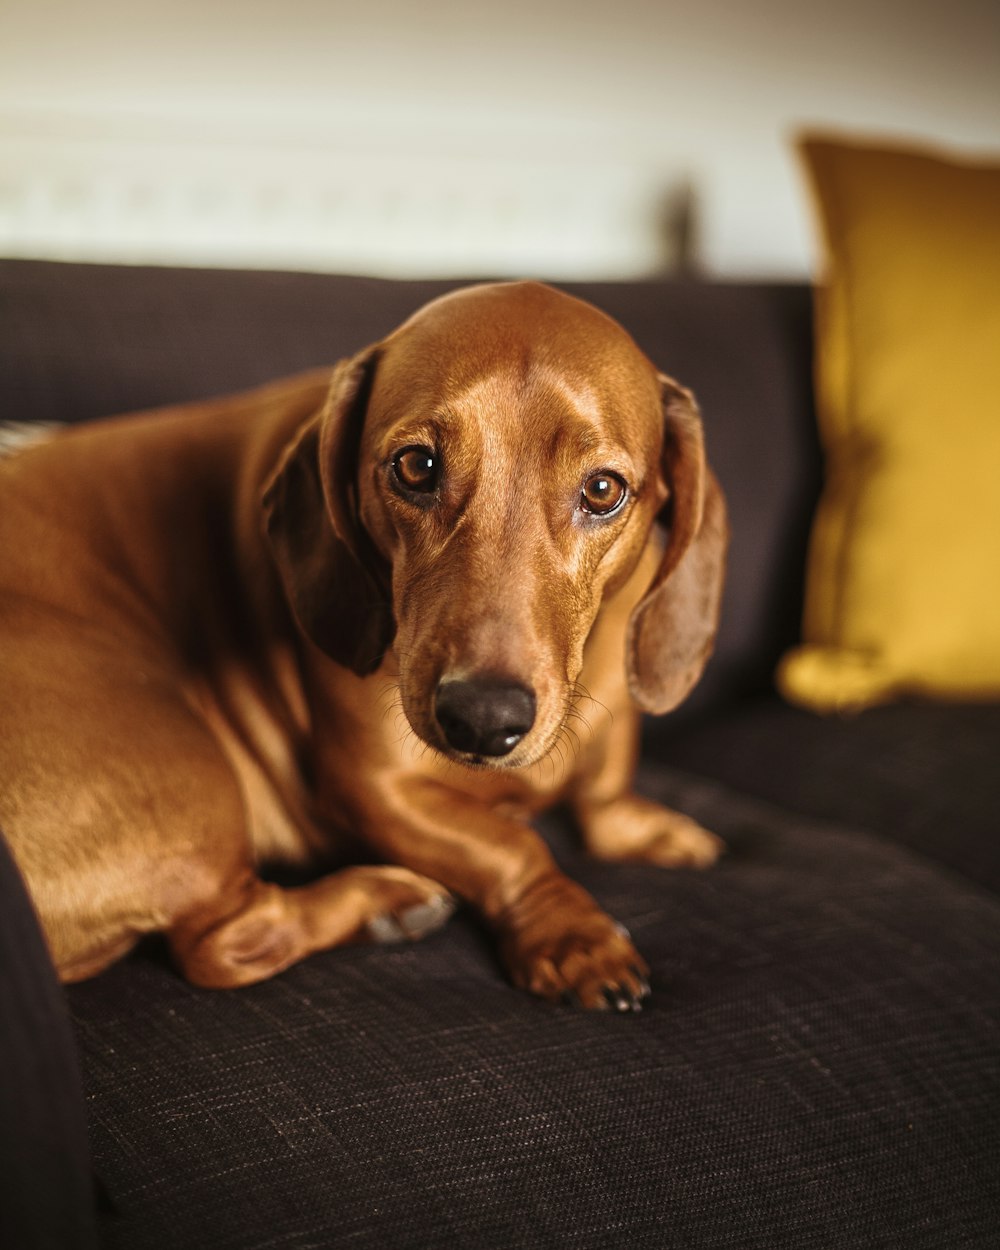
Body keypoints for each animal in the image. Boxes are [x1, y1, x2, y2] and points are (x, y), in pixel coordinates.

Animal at [3, 278, 730, 1010]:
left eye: (603, 489)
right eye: (416, 465)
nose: (481, 720)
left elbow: (604, 784)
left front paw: (642, 827)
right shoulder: (374, 789)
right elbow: (511, 849)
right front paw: (572, 934)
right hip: (183, 779)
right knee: (224, 941)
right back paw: (381, 900)